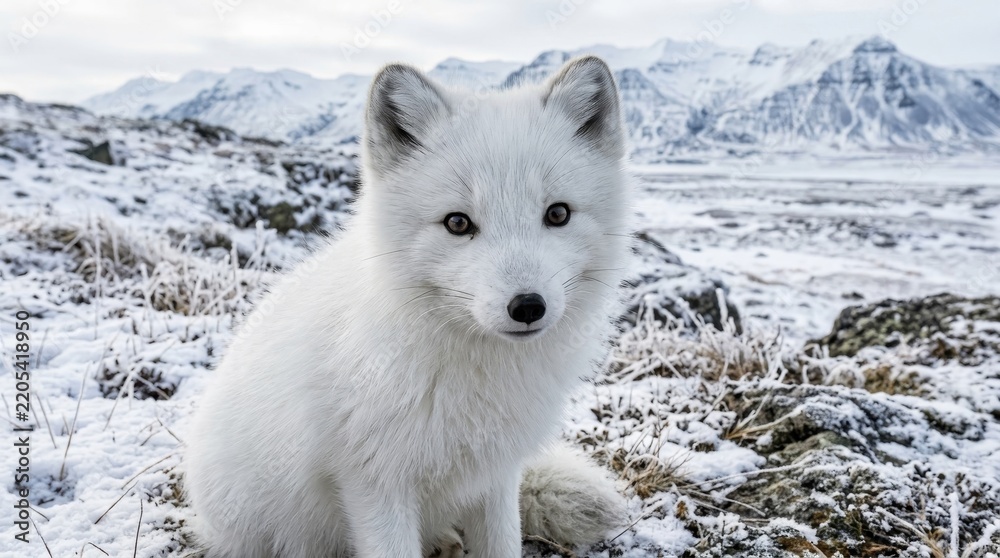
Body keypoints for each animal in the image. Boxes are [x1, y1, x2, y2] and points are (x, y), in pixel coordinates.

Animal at [184, 55, 632, 558]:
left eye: (557, 214)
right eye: (457, 223)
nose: (528, 306)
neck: (476, 375)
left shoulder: (496, 474)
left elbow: (502, 543)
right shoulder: (374, 482)